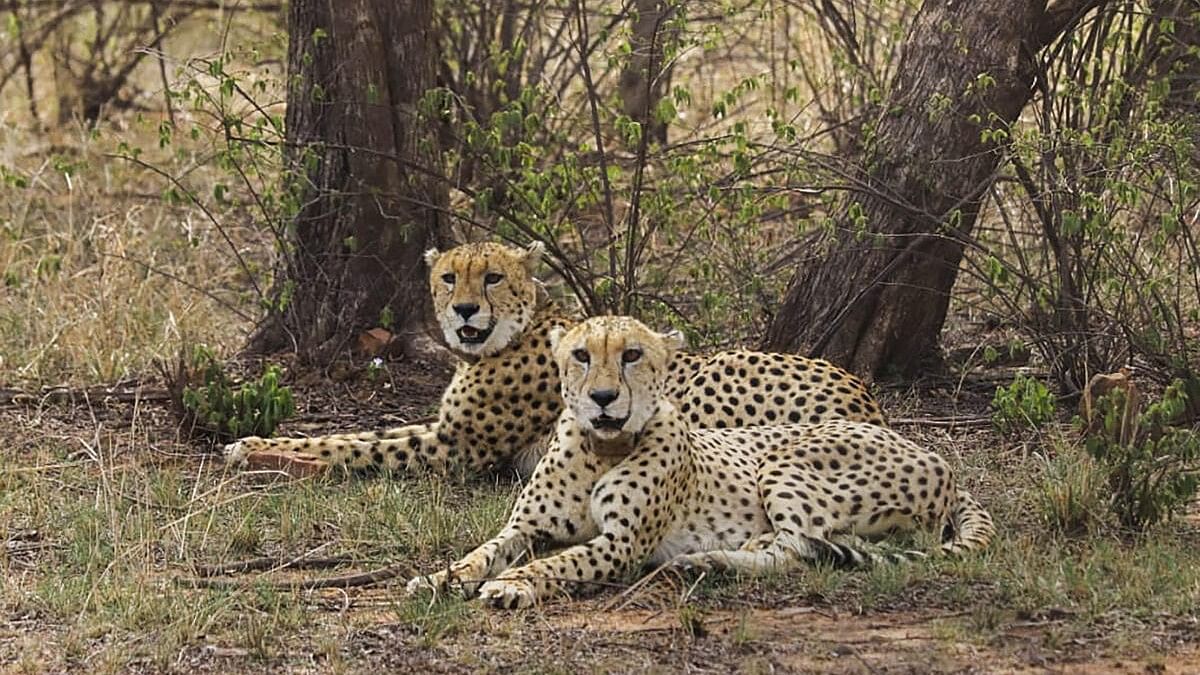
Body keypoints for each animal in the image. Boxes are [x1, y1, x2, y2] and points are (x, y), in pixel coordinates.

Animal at [225, 240, 888, 473]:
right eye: (448, 277)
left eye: (492, 277)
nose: (464, 311)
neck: (511, 336)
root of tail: (866, 398)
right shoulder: (444, 429)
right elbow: (360, 432)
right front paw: (255, 442)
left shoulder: (457, 448)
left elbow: (354, 447)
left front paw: (260, 452)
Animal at [408, 314, 998, 605]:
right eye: (580, 355)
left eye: (632, 355)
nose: (603, 398)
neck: (601, 448)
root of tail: (935, 457)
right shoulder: (526, 527)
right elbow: (482, 552)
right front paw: (440, 579)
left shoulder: (621, 544)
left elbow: (559, 562)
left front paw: (513, 584)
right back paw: (705, 561)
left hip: (783, 460)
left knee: (797, 549)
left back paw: (711, 559)